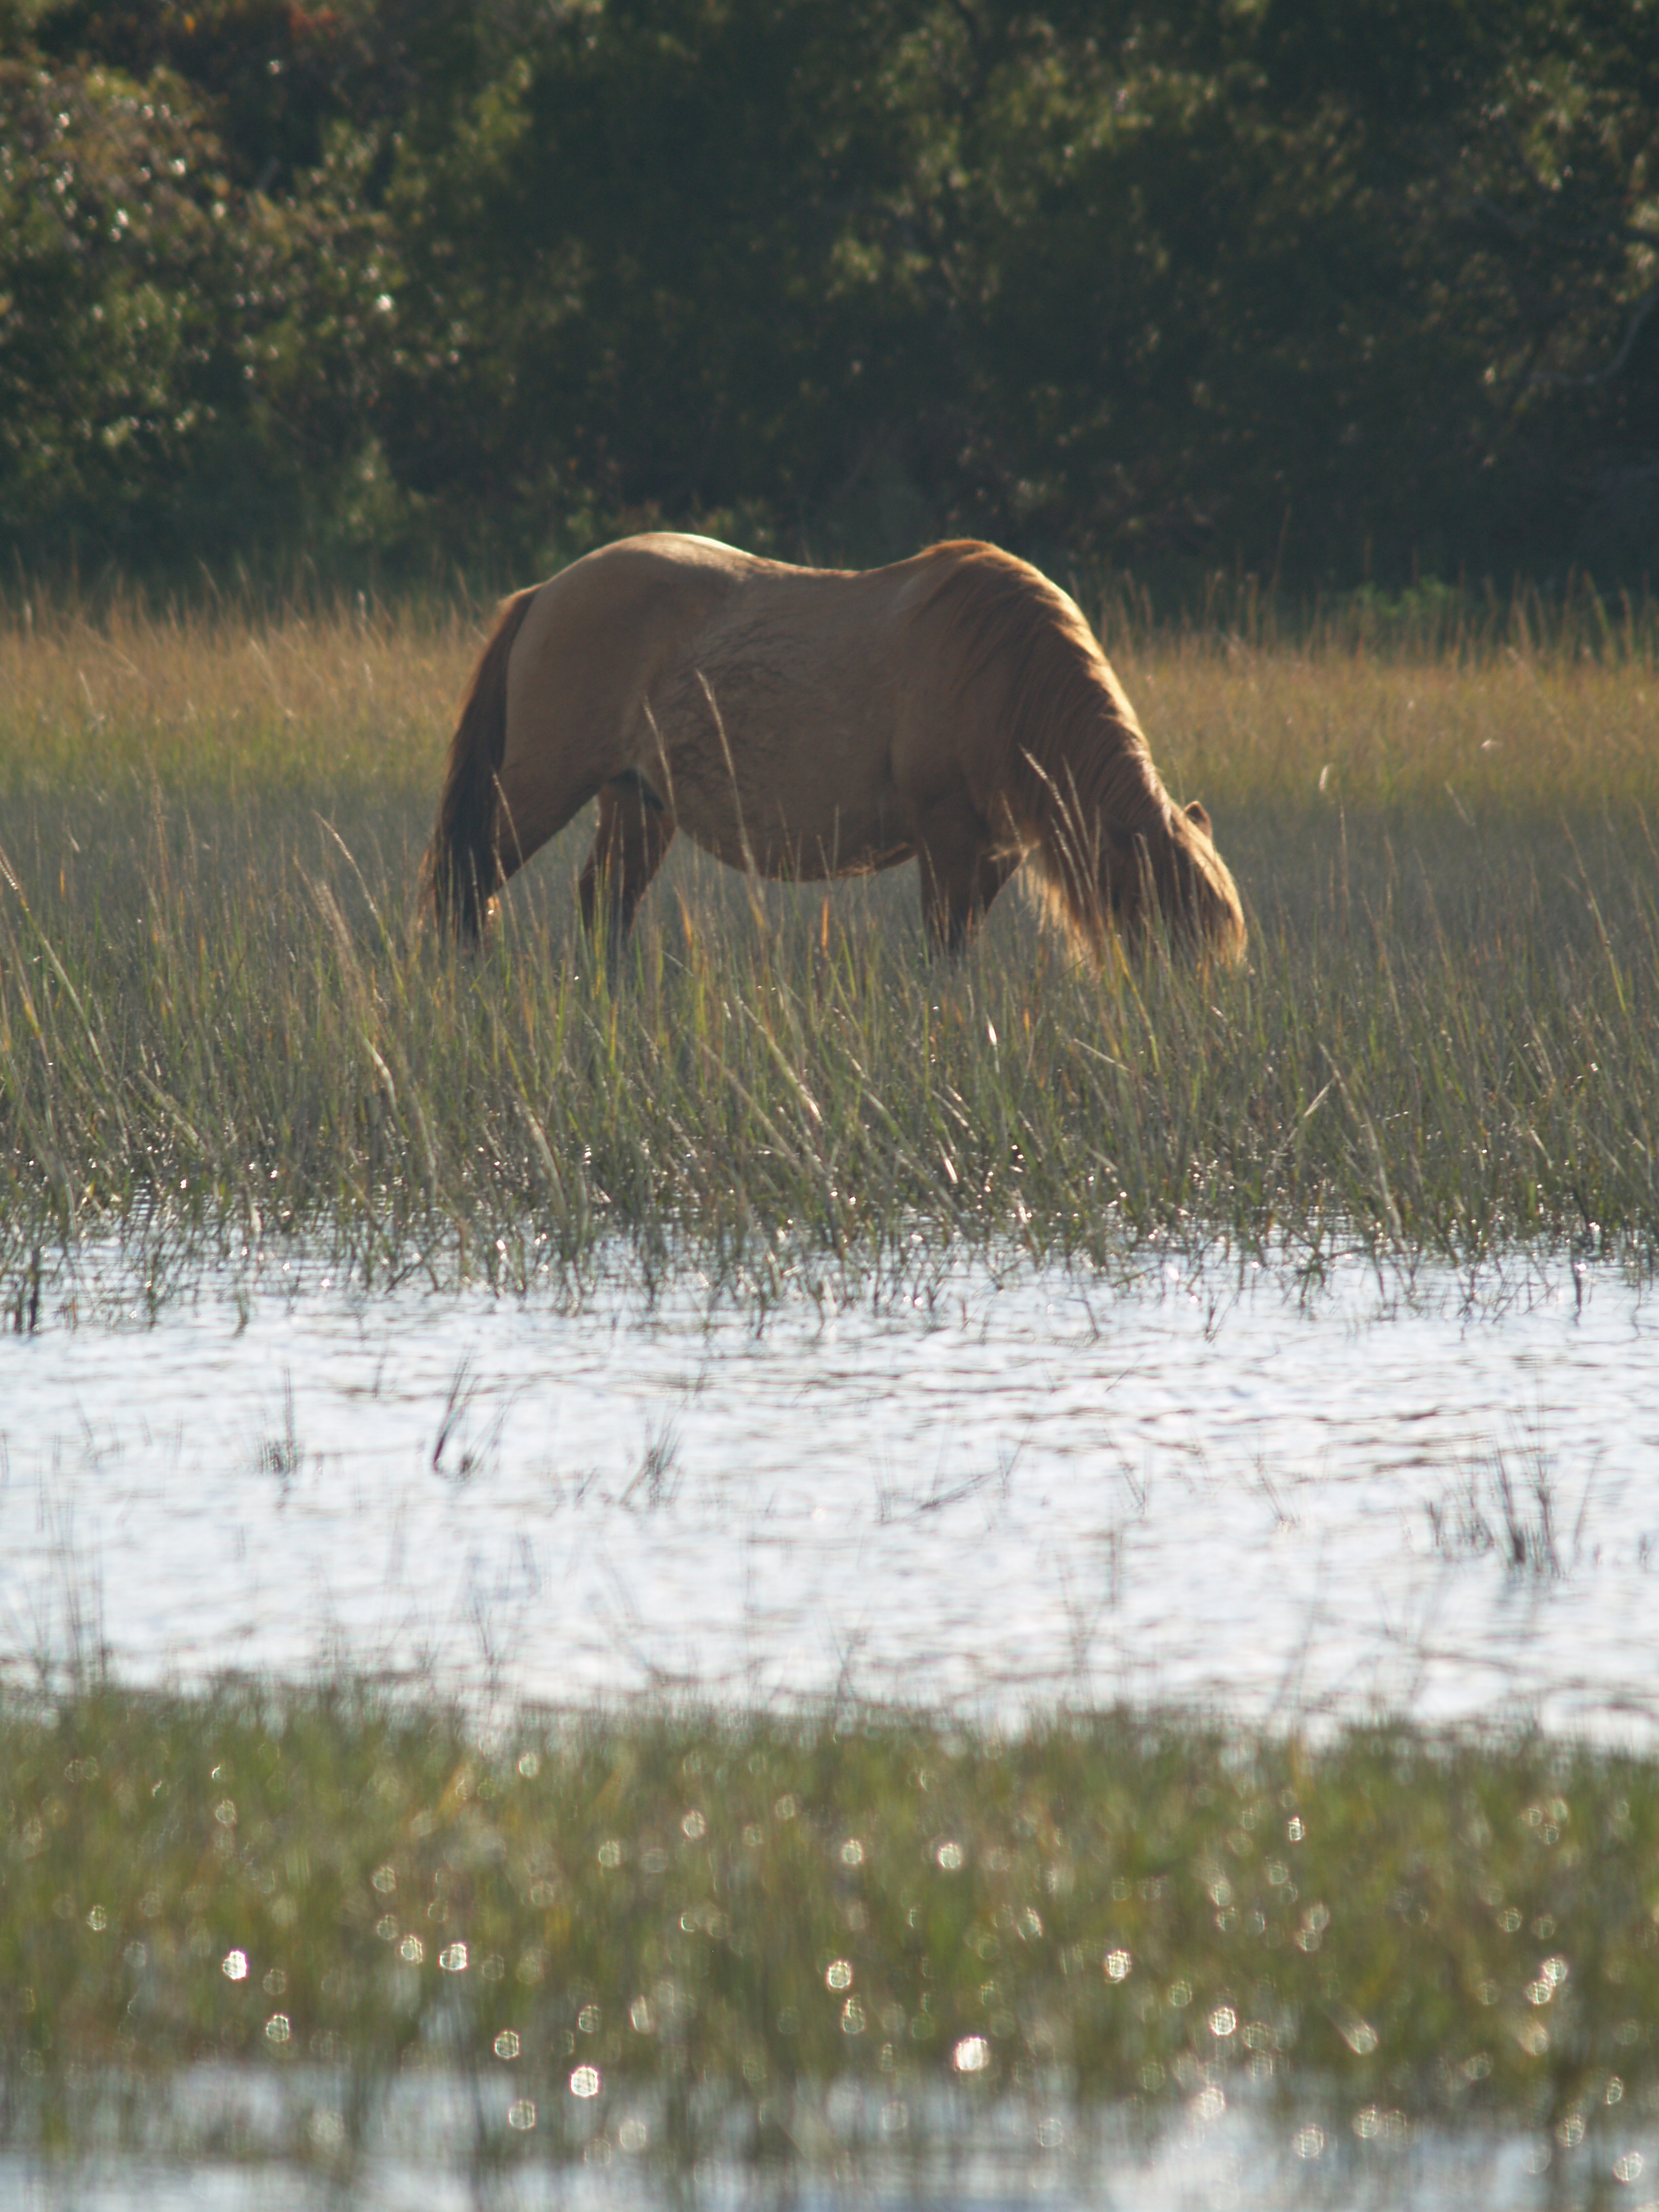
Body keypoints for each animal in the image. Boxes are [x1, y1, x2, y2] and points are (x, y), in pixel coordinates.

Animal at [424, 532, 1246, 963]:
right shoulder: (947, 837)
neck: (1003, 671)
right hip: (541, 789)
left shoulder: (996, 851)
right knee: (465, 882)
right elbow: (946, 952)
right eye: (1174, 929)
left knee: (603, 905)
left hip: (637, 802)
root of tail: (546, 592)